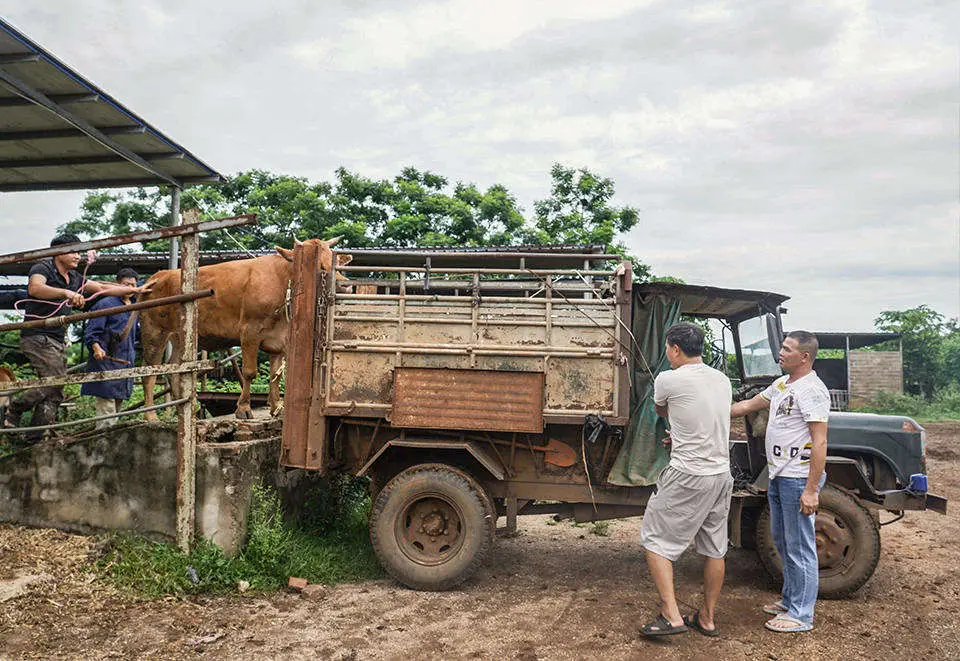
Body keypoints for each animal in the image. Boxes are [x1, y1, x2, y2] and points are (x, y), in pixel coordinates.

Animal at [138, 237, 342, 418]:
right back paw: (151, 416)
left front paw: (276, 408)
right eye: (320, 266)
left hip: (180, 337)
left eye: (335, 261)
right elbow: (249, 373)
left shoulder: (279, 340)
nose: (343, 285)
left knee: (176, 371)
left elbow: (275, 375)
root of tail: (159, 275)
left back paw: (184, 412)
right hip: (154, 332)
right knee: (149, 372)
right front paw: (243, 408)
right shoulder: (249, 332)